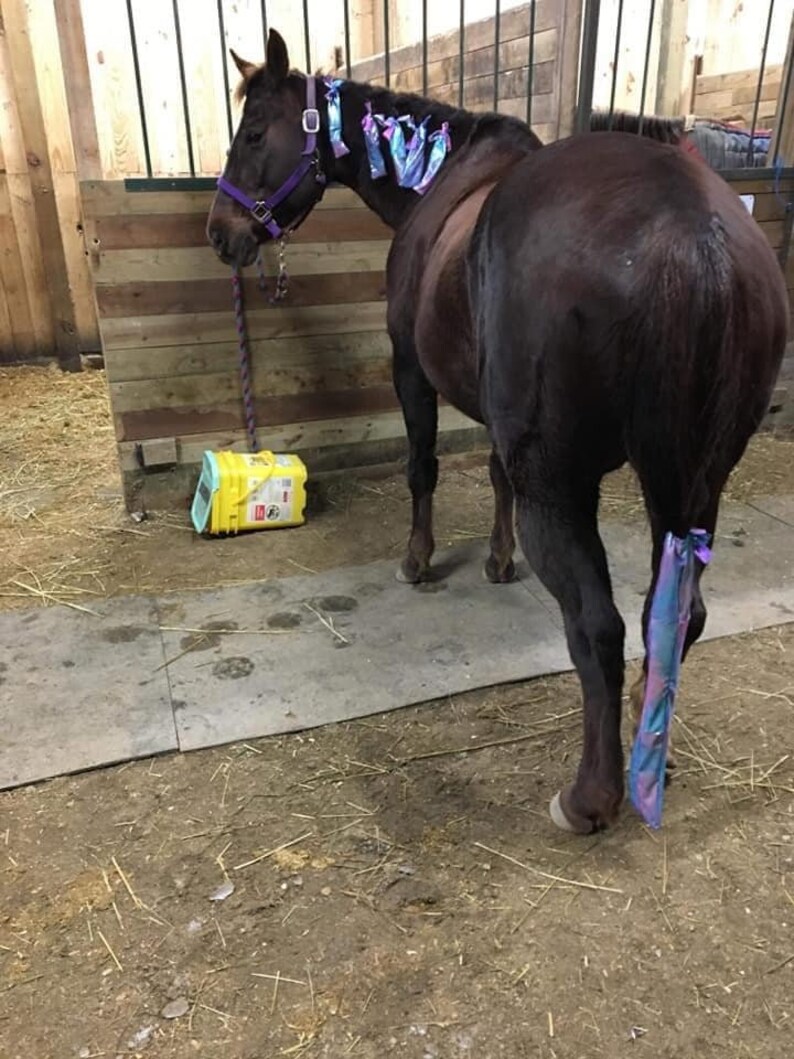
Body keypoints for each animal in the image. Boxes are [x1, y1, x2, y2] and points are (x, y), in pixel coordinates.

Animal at [207, 29, 788, 835]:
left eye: (255, 132)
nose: (219, 233)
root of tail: (691, 238)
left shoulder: (412, 370)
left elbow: (423, 466)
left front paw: (418, 561)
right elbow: (491, 474)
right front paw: (498, 559)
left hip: (565, 490)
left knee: (599, 627)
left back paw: (590, 796)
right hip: (697, 486)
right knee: (675, 616)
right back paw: (652, 757)